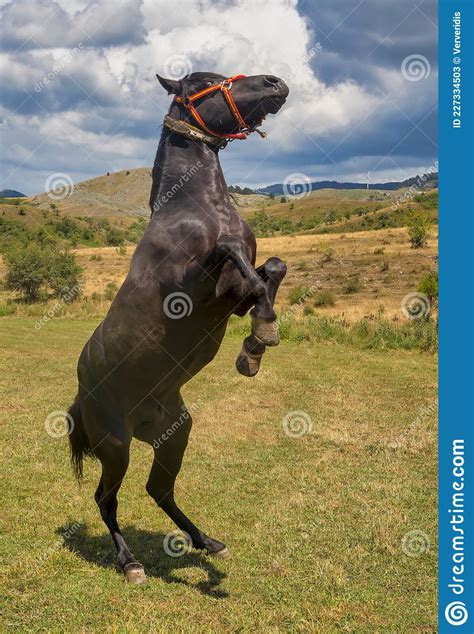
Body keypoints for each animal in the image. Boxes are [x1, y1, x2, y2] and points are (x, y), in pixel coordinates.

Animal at [68, 71, 286, 580]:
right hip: (115, 446)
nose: (276, 83)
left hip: (174, 434)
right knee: (106, 499)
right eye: (206, 82)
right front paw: (262, 336)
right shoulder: (201, 287)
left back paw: (208, 542)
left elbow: (272, 268)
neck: (192, 207)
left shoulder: (233, 295)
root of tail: (82, 392)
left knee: (159, 490)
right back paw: (130, 563)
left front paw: (255, 347)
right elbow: (240, 263)